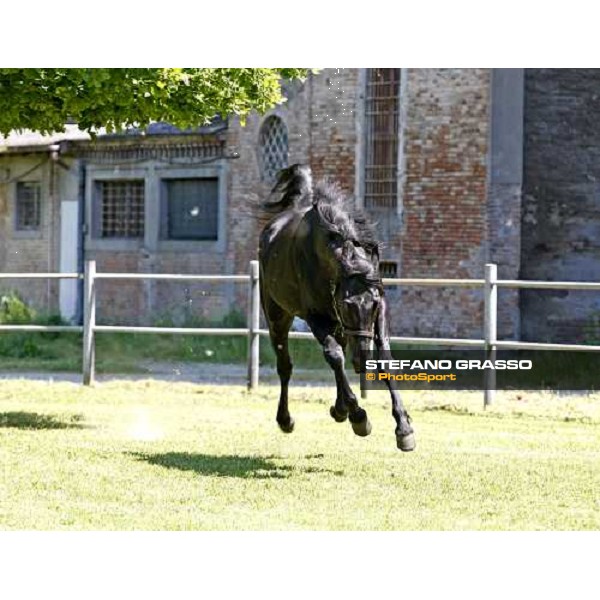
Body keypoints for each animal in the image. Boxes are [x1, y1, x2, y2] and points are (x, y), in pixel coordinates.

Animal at [260, 164, 414, 450]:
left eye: (373, 304)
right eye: (346, 305)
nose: (362, 362)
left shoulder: (380, 311)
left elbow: (386, 360)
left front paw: (404, 427)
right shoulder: (316, 316)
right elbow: (334, 356)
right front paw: (359, 416)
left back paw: (340, 408)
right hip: (277, 316)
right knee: (286, 365)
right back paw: (288, 419)